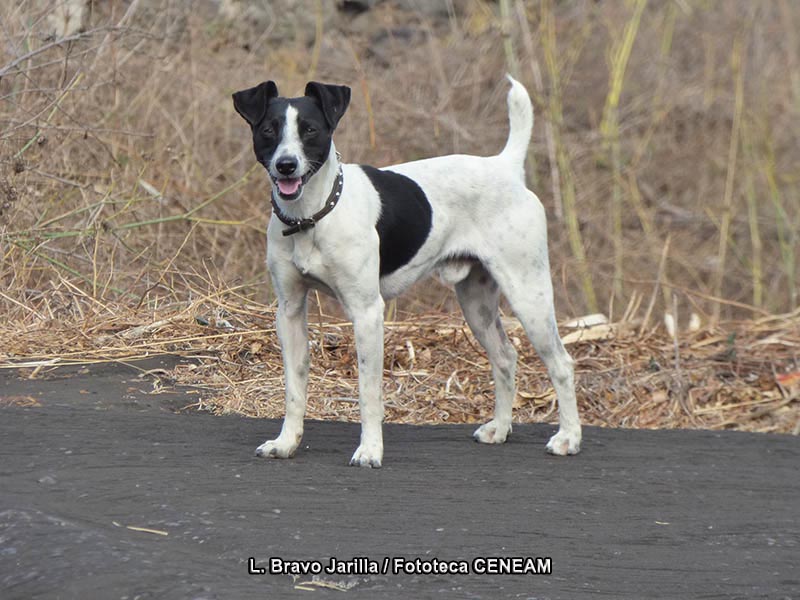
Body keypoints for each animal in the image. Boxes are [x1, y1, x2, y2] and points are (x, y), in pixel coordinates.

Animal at [233, 76, 580, 468]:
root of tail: (505, 167)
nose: (286, 165)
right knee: (505, 357)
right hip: (477, 304)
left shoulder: (367, 312)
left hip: (528, 294)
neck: (312, 216)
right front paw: (286, 443)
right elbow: (294, 387)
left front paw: (370, 450)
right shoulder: (289, 312)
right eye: (268, 130)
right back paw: (500, 429)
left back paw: (568, 438)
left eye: (310, 130)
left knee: (562, 364)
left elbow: (369, 392)